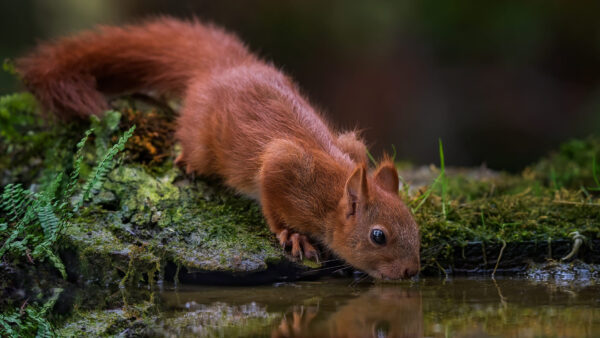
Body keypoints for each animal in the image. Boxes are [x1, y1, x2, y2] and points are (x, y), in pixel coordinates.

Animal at [15, 17, 418, 278]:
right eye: (378, 236)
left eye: (414, 224)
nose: (412, 272)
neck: (332, 190)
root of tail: (222, 67)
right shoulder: (284, 165)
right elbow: (272, 201)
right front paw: (293, 236)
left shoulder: (351, 146)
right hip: (201, 135)